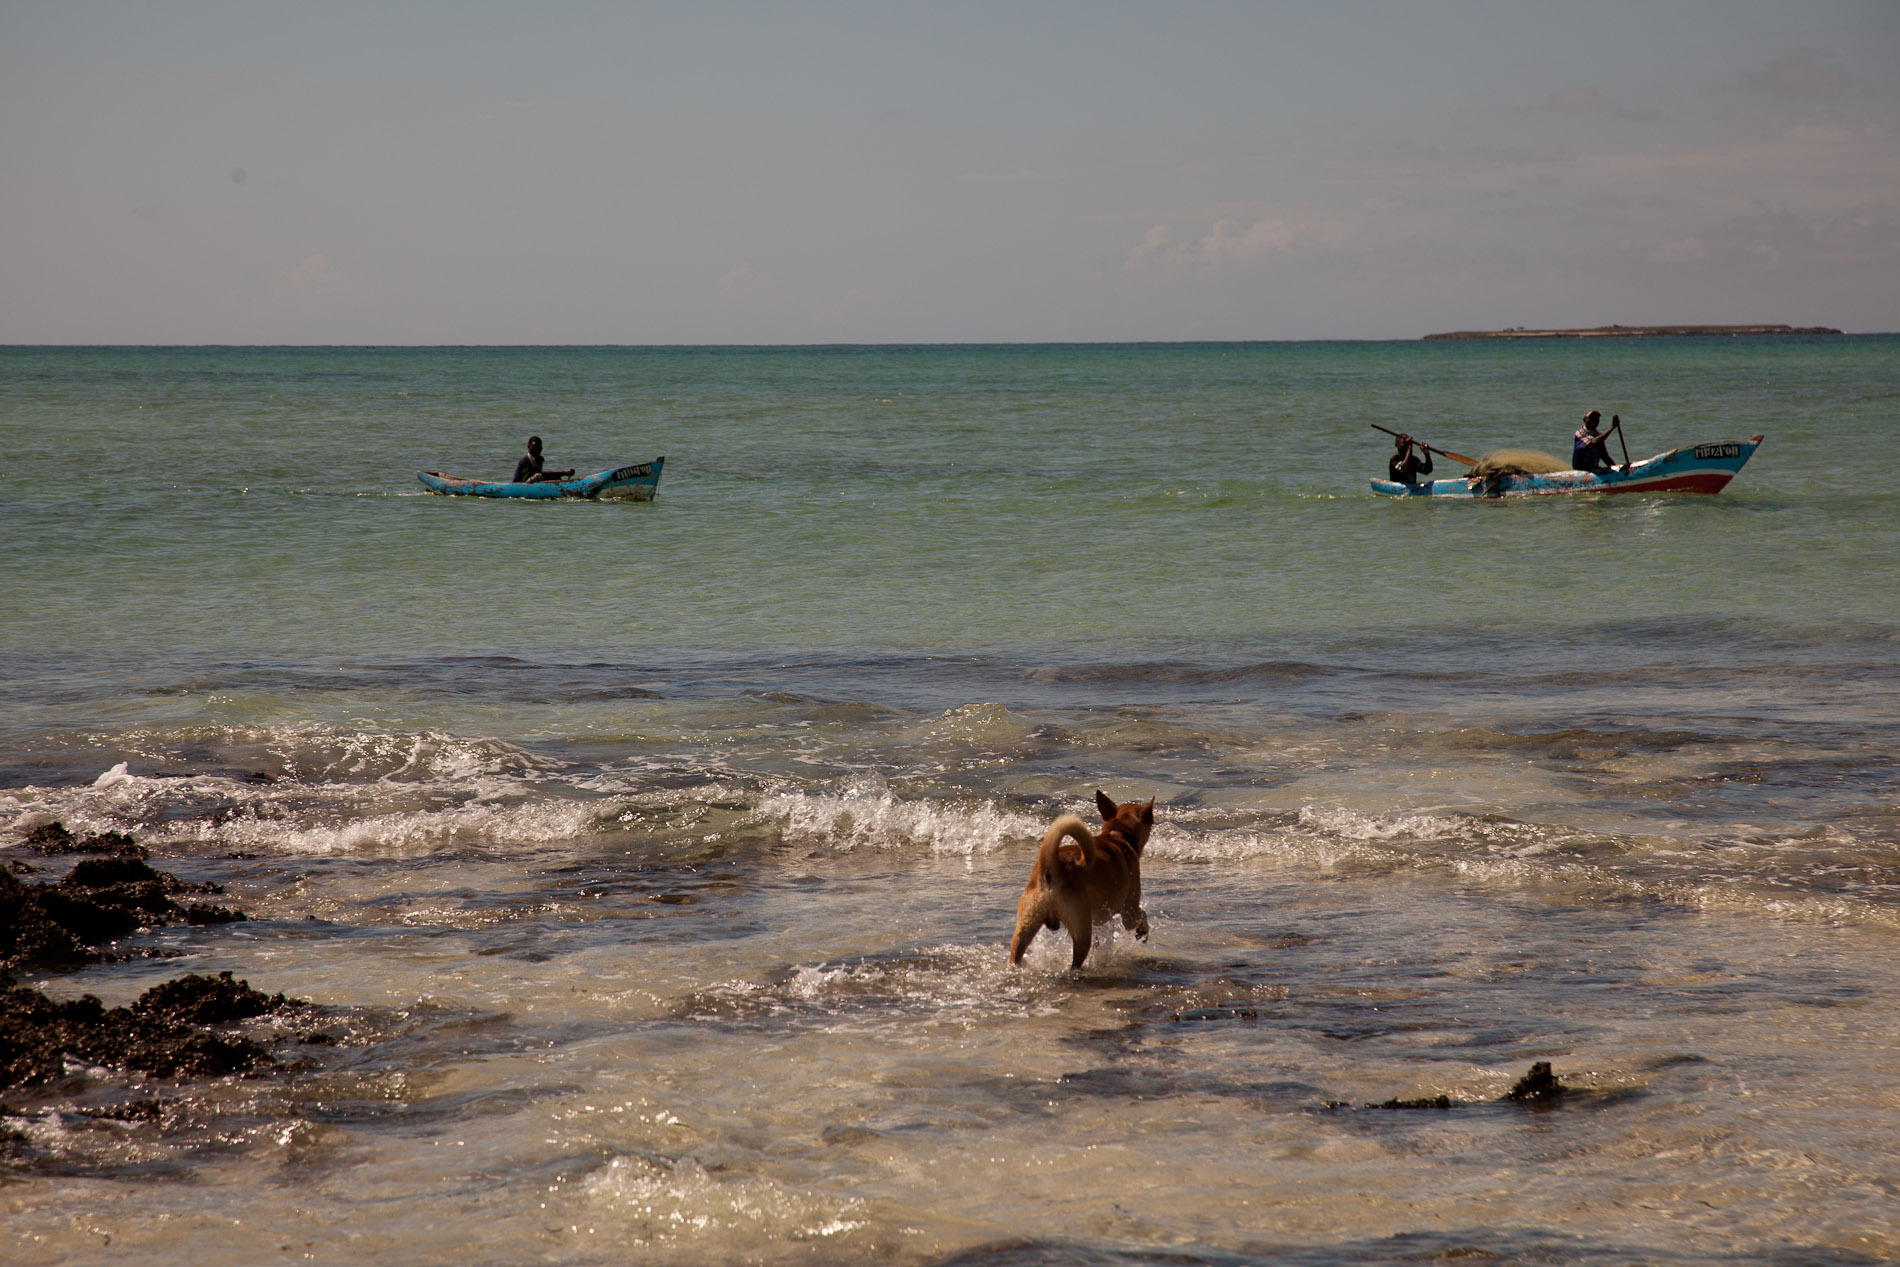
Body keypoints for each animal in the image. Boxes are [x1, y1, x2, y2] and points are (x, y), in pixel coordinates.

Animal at [1010, 794, 1155, 972]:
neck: (1118, 836)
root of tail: (1052, 868)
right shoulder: (1129, 911)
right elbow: (1142, 914)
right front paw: (1143, 931)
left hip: (1027, 923)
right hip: (1082, 928)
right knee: (1076, 962)